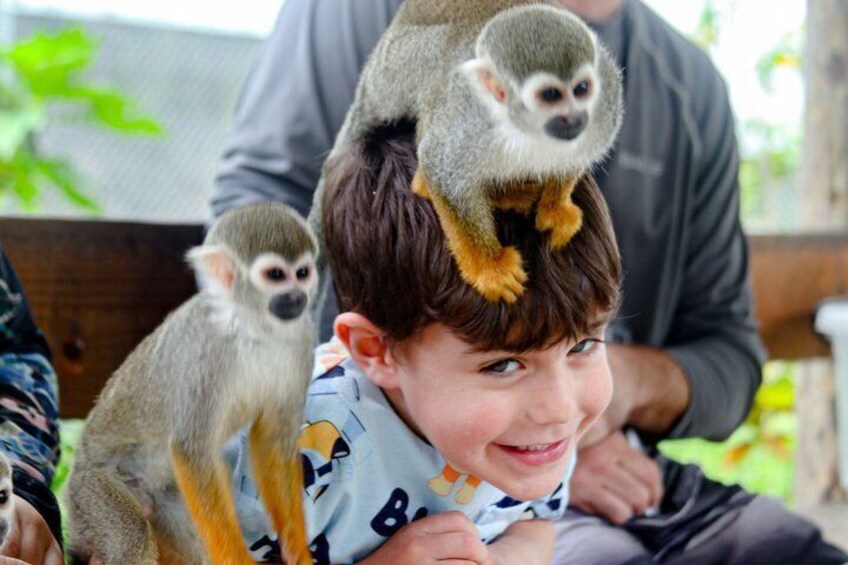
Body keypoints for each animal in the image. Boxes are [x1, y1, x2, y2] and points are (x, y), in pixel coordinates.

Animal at [64, 203, 317, 565]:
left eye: (303, 272)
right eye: (276, 275)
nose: (297, 296)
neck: (251, 327)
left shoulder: (302, 339)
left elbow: (273, 439)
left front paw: (297, 549)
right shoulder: (203, 353)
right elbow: (192, 450)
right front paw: (238, 559)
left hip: (163, 498)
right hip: (90, 493)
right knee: (131, 535)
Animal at [309, 0, 623, 304]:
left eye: (582, 88)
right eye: (551, 95)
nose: (576, 118)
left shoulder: (607, 100)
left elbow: (576, 158)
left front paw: (554, 207)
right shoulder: (471, 115)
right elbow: (441, 169)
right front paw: (488, 266)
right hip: (394, 66)